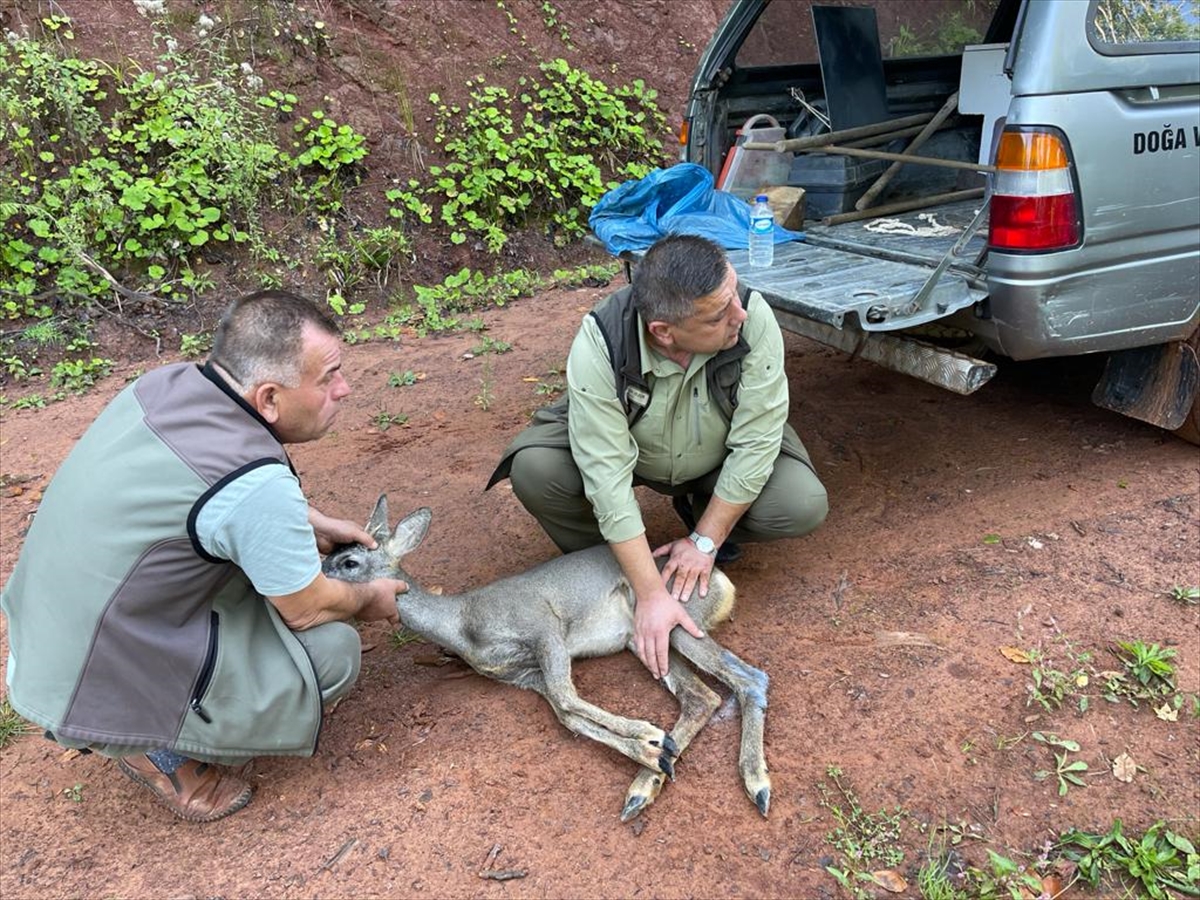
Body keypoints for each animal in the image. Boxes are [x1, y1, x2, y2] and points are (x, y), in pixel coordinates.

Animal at [324, 496, 768, 820]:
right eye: (330, 555)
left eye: (349, 562)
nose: (316, 576)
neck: (462, 625)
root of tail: (721, 581)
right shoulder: (522, 675)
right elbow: (565, 712)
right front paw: (653, 747)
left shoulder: (542, 624)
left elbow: (568, 698)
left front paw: (648, 736)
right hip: (644, 639)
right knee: (702, 696)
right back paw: (647, 784)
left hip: (676, 620)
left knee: (749, 678)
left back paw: (756, 784)